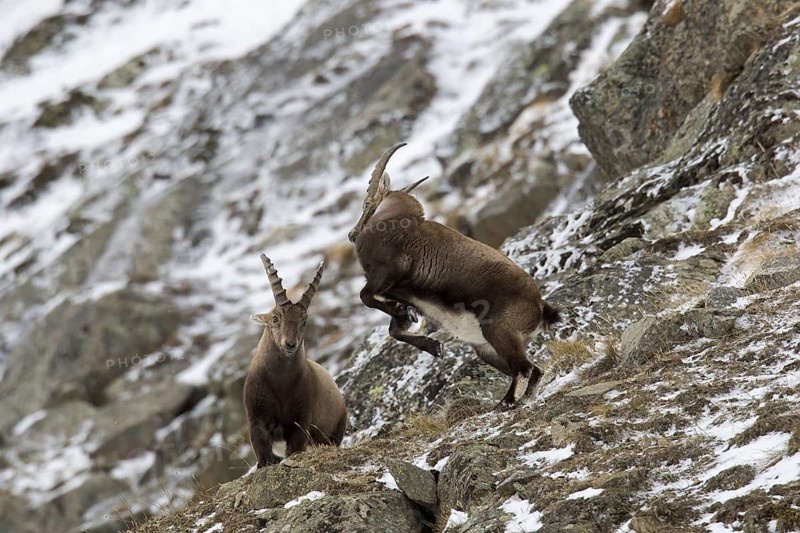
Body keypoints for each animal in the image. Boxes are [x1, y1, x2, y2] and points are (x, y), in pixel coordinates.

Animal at [244, 254, 347, 467]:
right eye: (275, 318)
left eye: (304, 322)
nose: (290, 344)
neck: (280, 382)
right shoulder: (256, 418)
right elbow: (262, 450)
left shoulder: (301, 420)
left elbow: (295, 448)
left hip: (335, 430)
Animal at [348, 143, 561, 408]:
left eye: (367, 204)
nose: (352, 234)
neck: (395, 220)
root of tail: (539, 306)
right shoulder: (397, 291)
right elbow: (394, 329)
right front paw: (431, 344)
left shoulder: (387, 273)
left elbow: (365, 297)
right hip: (485, 348)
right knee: (534, 370)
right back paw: (523, 399)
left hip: (499, 332)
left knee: (523, 368)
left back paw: (505, 403)